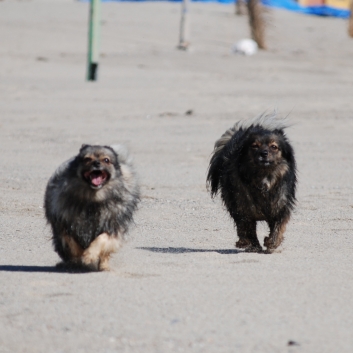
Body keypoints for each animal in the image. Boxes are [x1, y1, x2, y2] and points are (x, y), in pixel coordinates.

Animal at [208, 111, 296, 252]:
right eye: (254, 146)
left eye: (274, 147)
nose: (264, 153)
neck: (263, 177)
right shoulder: (243, 208)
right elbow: (247, 228)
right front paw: (251, 245)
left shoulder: (280, 206)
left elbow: (278, 227)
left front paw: (271, 243)